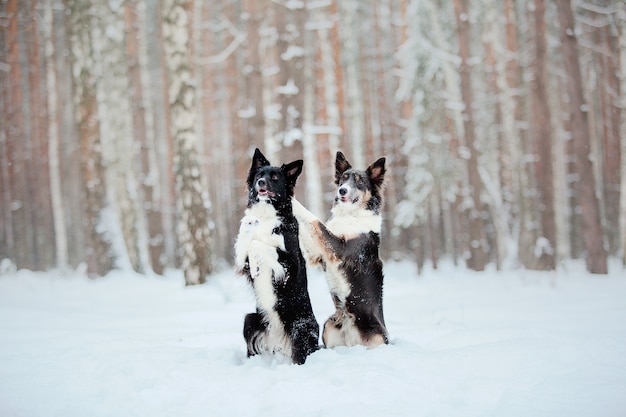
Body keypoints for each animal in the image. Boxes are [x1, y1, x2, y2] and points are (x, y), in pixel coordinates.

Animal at [236, 148, 320, 362]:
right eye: (259, 175)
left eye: (274, 178)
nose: (260, 182)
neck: (267, 213)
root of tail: (278, 338)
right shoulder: (241, 262)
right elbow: (245, 240)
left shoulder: (291, 262)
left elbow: (258, 244)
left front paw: (257, 265)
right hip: (250, 320)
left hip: (300, 328)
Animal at [292, 152, 386, 348]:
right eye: (343, 178)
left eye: (359, 181)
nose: (342, 190)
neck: (350, 215)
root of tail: (353, 341)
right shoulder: (317, 254)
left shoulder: (339, 249)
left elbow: (314, 219)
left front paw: (290, 199)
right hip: (329, 325)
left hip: (378, 336)